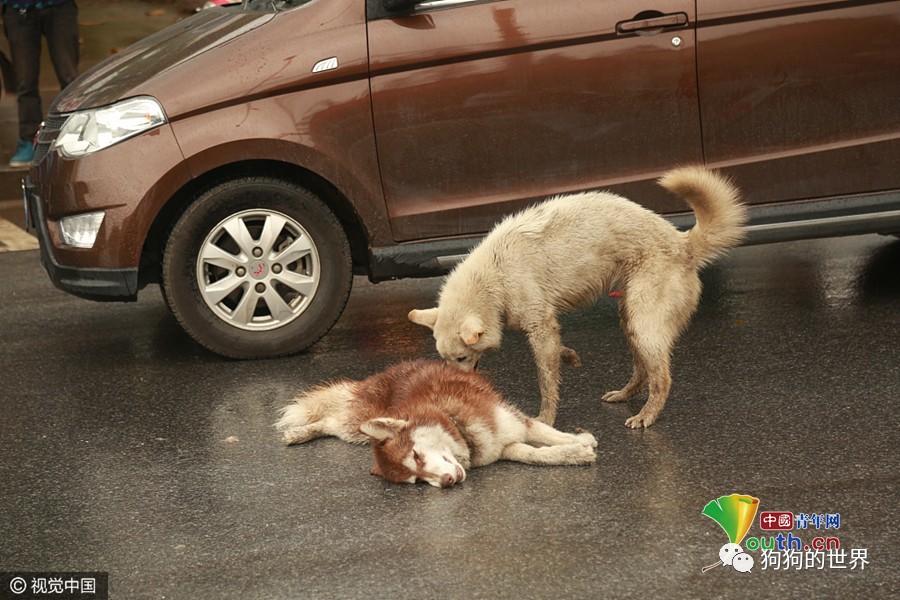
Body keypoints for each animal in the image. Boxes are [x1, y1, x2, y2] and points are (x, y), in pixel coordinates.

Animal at [410, 166, 744, 428]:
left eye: (462, 358)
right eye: (445, 360)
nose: (456, 390)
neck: (494, 276)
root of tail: (683, 243)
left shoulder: (541, 325)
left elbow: (546, 382)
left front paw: (546, 419)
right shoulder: (546, 328)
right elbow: (558, 354)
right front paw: (569, 357)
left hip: (643, 323)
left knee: (661, 379)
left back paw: (646, 415)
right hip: (630, 320)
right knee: (643, 372)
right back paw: (624, 395)